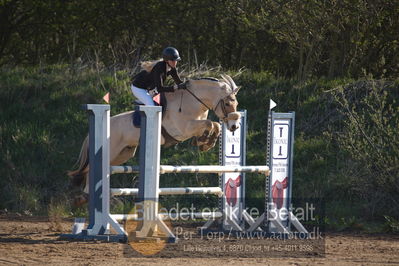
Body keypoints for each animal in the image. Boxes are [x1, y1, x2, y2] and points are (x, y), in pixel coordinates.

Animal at [68, 74, 241, 201]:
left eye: (236, 104)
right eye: (227, 103)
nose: (234, 127)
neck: (193, 102)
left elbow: (213, 125)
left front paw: (205, 143)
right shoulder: (184, 129)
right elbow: (210, 123)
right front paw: (205, 142)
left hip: (123, 154)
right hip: (111, 151)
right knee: (91, 169)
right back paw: (87, 195)